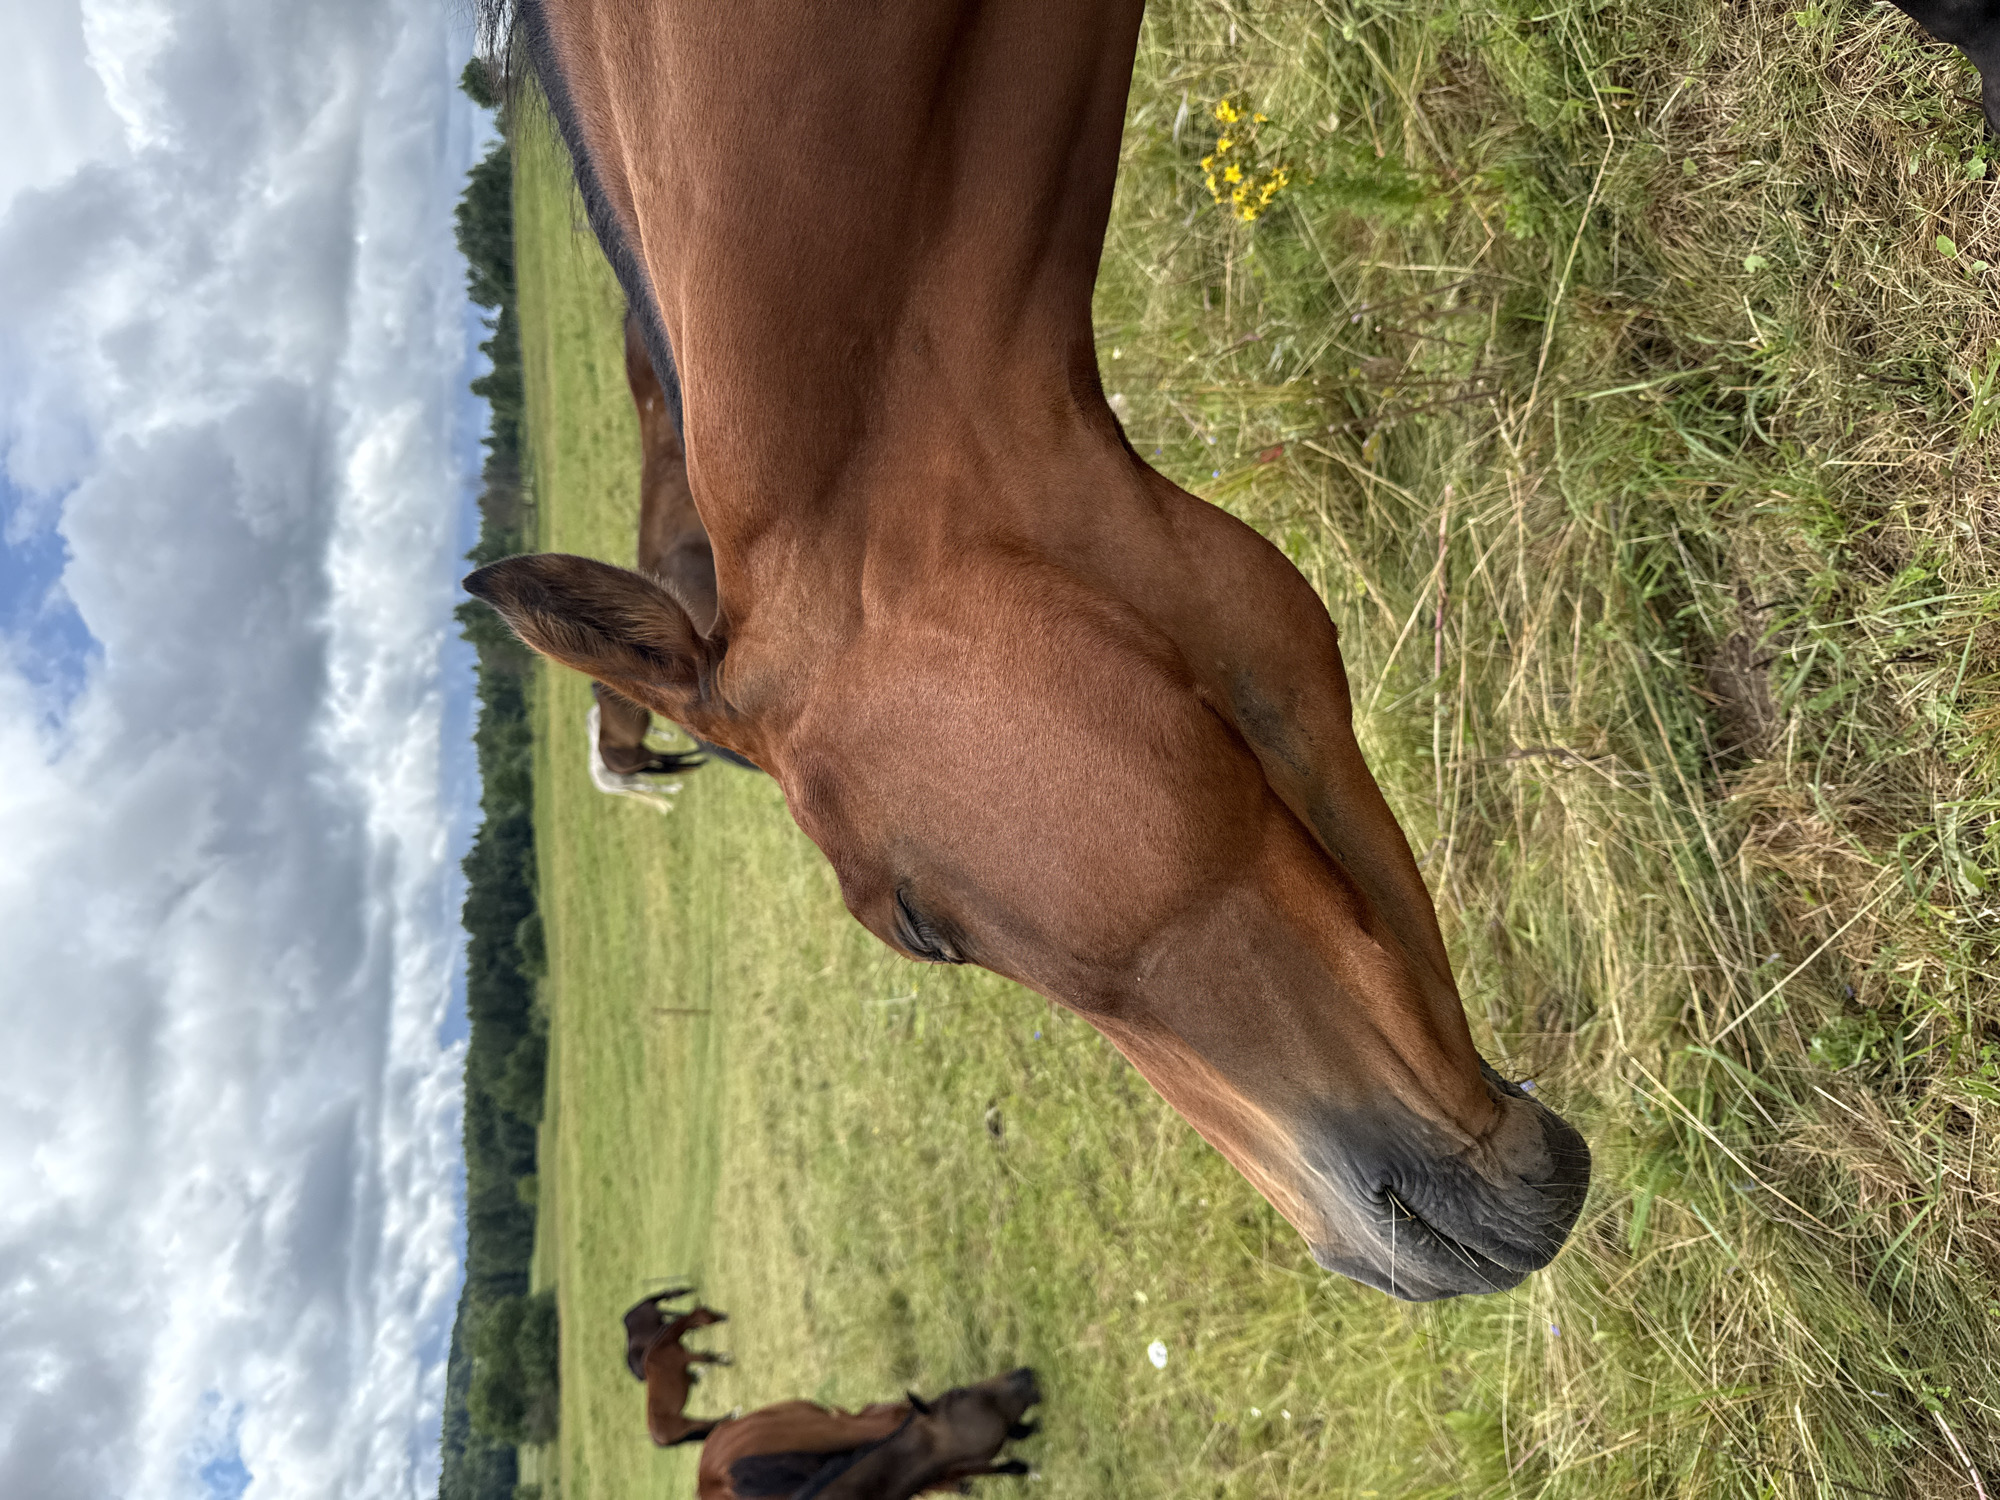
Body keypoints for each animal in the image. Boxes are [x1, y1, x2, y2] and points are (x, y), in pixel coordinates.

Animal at [618, 1289, 733, 1447]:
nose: (724, 1316)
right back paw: (732, 1415)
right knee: (708, 1423)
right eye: (707, 1314)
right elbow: (708, 1357)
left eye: (708, 1309)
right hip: (687, 1423)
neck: (663, 1347)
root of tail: (656, 1437)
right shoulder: (688, 1357)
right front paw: (728, 1360)